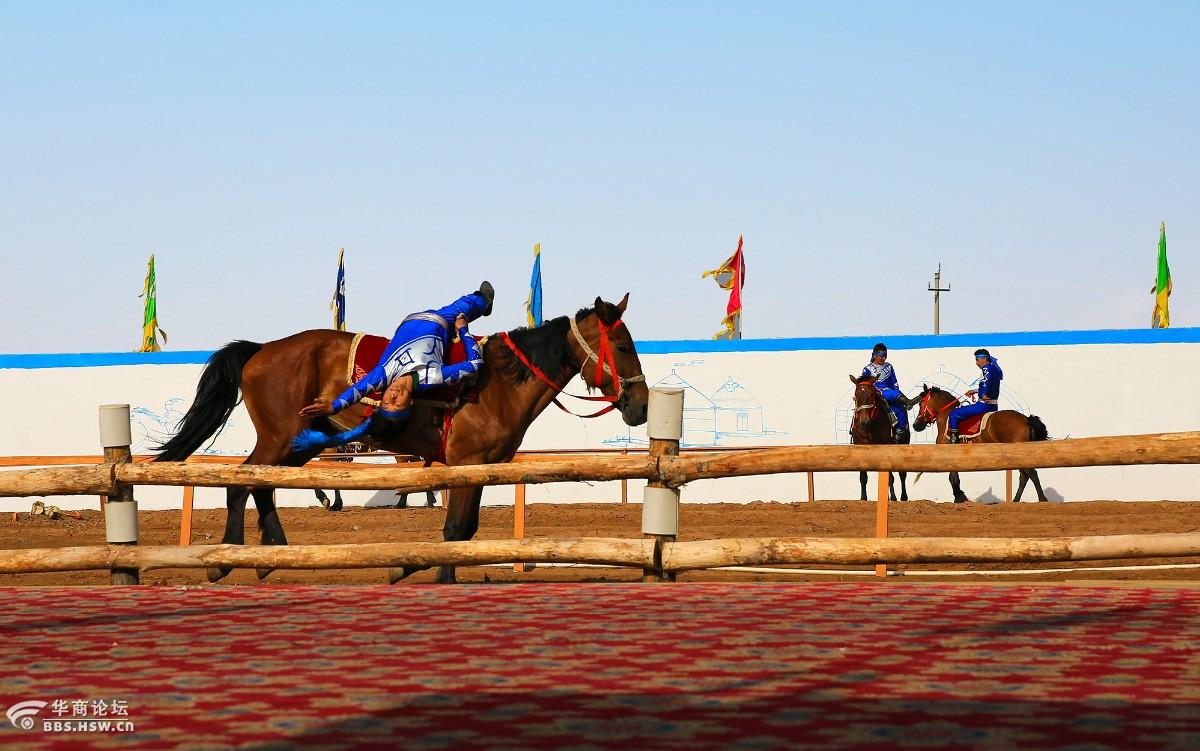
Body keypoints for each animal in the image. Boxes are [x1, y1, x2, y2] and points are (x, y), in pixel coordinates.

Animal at [159, 292, 652, 578]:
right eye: (622, 345)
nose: (642, 405)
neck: (500, 383)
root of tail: (261, 350)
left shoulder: (480, 466)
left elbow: (466, 530)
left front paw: (408, 567)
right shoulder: (466, 463)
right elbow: (456, 529)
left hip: (299, 441)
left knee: (262, 485)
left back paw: (272, 554)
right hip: (278, 437)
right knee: (242, 483)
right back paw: (229, 561)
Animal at [849, 371, 912, 499]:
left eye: (871, 394)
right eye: (856, 394)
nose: (864, 422)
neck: (870, 427)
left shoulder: (885, 445)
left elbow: (890, 476)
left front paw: (892, 497)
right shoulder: (861, 445)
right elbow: (863, 476)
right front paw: (863, 498)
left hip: (903, 443)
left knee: (902, 473)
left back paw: (902, 497)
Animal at [912, 386, 1046, 503]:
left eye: (920, 403)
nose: (915, 425)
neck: (946, 418)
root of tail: (1026, 419)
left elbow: (952, 477)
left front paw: (960, 497)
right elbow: (953, 477)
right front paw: (959, 496)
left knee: (1032, 474)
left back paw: (1042, 499)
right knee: (1024, 477)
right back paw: (1015, 500)